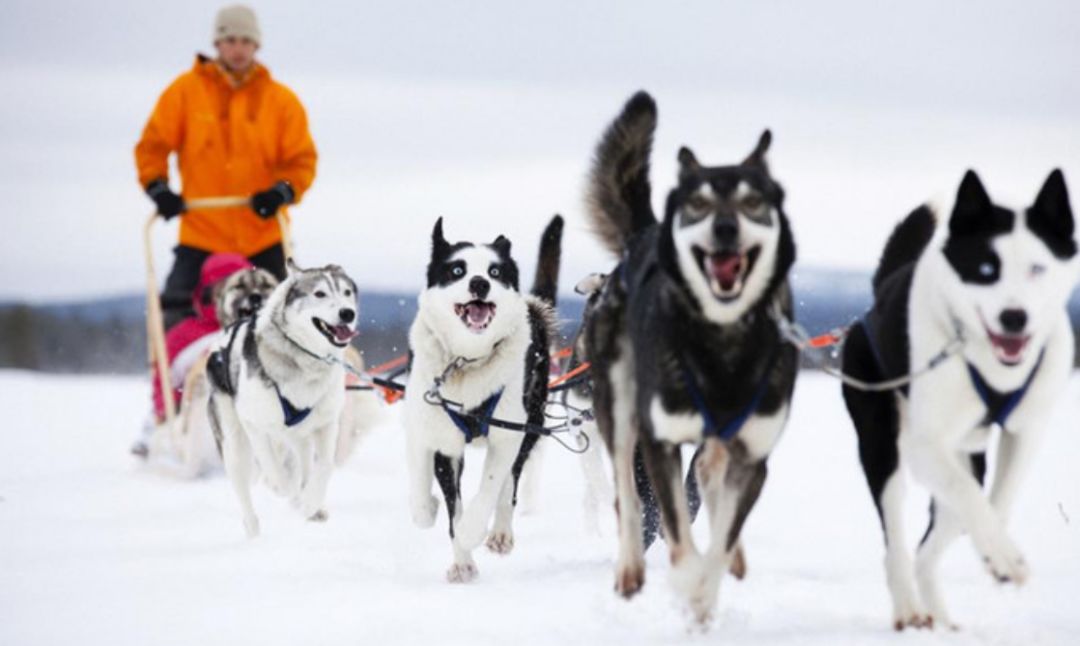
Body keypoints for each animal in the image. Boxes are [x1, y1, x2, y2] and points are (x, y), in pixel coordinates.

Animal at [203, 260, 354, 540]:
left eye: (347, 292)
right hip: (235, 444)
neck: (304, 362)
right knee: (247, 492)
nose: (347, 313)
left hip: (299, 438)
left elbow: (324, 466)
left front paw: (311, 502)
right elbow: (273, 469)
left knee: (302, 464)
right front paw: (283, 489)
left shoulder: (326, 424)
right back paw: (254, 529)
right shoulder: (254, 424)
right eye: (319, 293)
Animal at [583, 91, 803, 622]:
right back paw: (630, 569)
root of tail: (644, 236)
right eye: (699, 204)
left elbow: (720, 540)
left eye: (752, 201)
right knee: (626, 493)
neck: (722, 346)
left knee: (707, 478)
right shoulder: (660, 441)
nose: (725, 229)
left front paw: (705, 595)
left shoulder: (753, 453)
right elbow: (677, 533)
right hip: (619, 409)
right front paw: (686, 588)